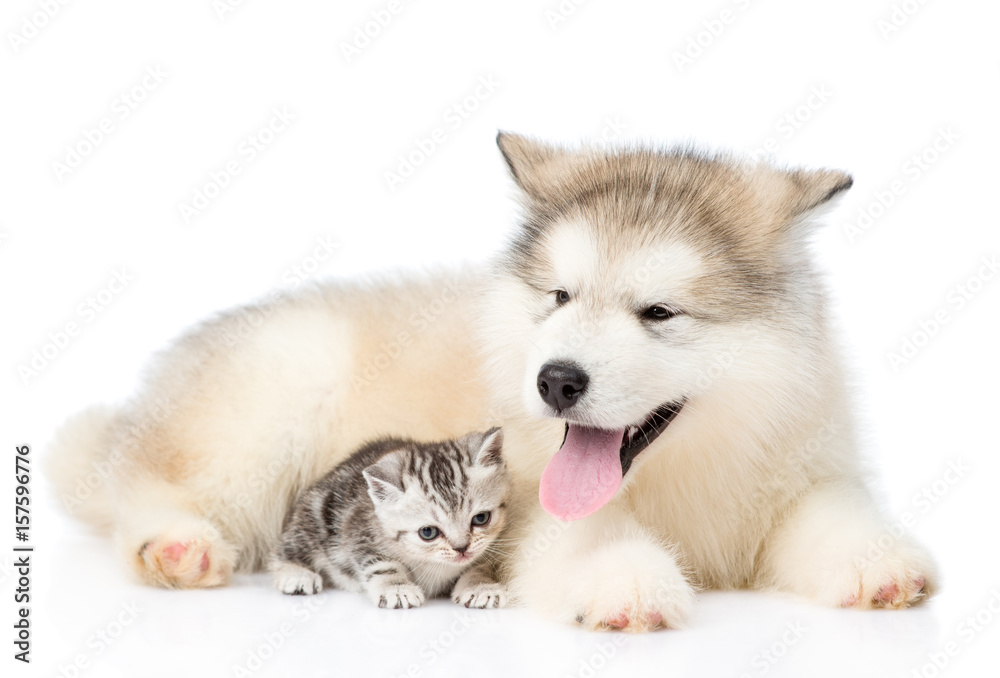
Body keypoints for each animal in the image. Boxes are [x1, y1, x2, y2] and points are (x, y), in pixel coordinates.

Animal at [270, 430, 512, 612]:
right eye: (428, 533)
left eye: (481, 518)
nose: (462, 548)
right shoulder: (358, 529)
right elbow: (382, 564)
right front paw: (396, 588)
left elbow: (481, 564)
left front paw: (481, 586)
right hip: (317, 513)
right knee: (285, 548)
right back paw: (296, 574)